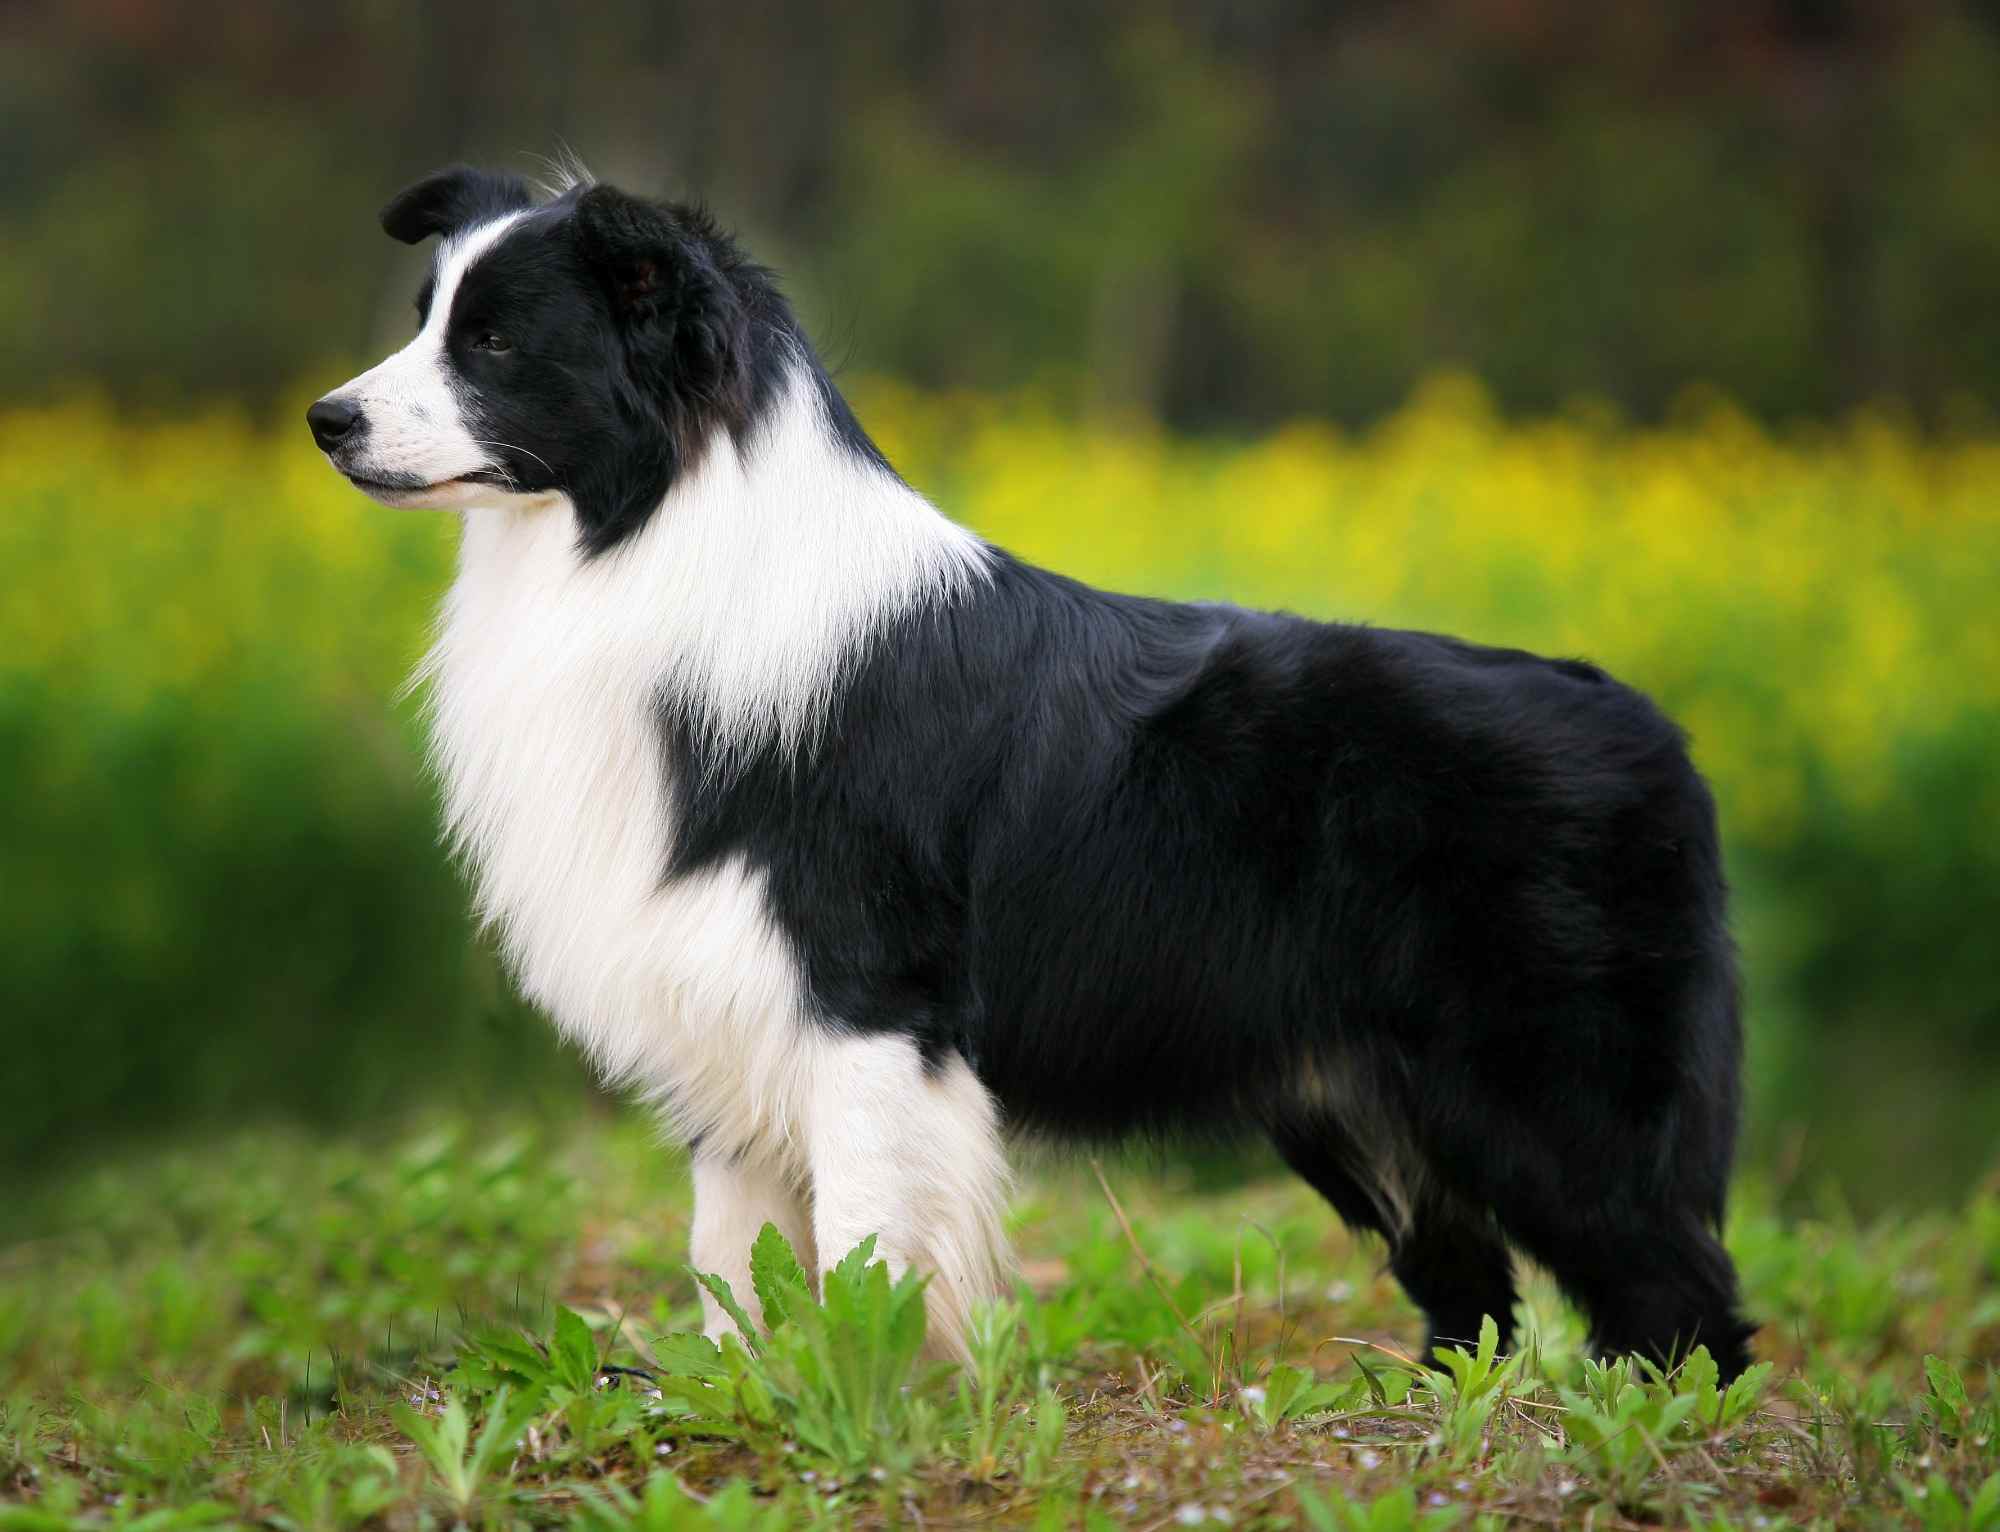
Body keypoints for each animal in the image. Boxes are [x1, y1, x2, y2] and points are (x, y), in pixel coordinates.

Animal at [308, 165, 1752, 1376]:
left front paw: (862, 1398)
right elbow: (733, 1258)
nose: (325, 420)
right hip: (1362, 1098)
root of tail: (1645, 720)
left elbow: (863, 1244)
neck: (645, 534)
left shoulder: (865, 997)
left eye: (495, 342)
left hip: (1548, 1089)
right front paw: (742, 1398)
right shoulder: (724, 996)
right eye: (428, 317)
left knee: (1674, 1288)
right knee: (1477, 1286)